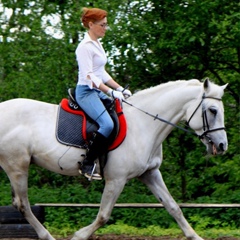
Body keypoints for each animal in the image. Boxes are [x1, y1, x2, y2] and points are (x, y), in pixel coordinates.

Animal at [0, 79, 228, 240]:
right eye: (212, 110)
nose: (222, 146)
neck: (144, 123)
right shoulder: (116, 179)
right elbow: (103, 215)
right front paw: (79, 235)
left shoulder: (150, 173)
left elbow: (174, 207)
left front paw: (195, 236)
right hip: (17, 166)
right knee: (23, 205)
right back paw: (47, 236)